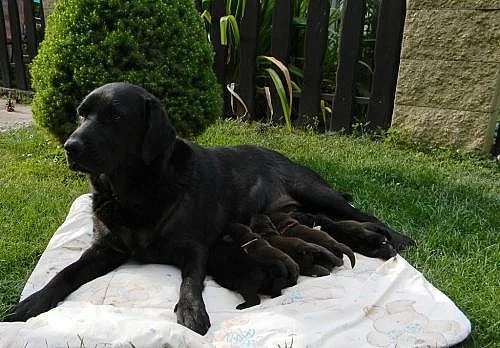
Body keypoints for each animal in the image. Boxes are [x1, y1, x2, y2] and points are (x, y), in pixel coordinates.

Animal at [3, 82, 414, 334]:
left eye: (115, 116)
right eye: (81, 114)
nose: (69, 146)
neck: (134, 190)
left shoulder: (194, 248)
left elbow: (190, 279)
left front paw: (191, 310)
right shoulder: (106, 248)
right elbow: (64, 273)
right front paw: (30, 303)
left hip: (314, 191)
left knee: (363, 215)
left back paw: (396, 239)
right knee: (339, 220)